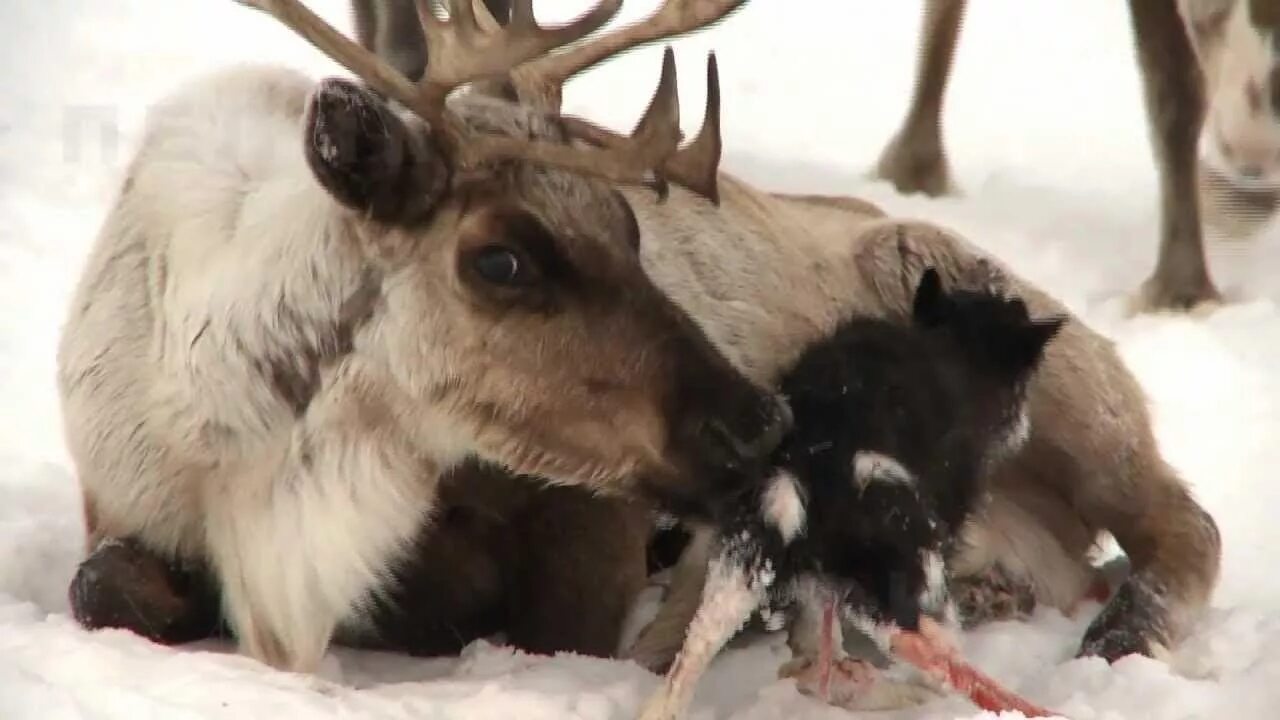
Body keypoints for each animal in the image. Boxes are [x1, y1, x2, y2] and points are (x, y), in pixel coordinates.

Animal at [634, 269, 1064, 717]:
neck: (953, 347)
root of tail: (805, 471)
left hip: (740, 572)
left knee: (690, 664)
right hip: (909, 573)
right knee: (927, 654)